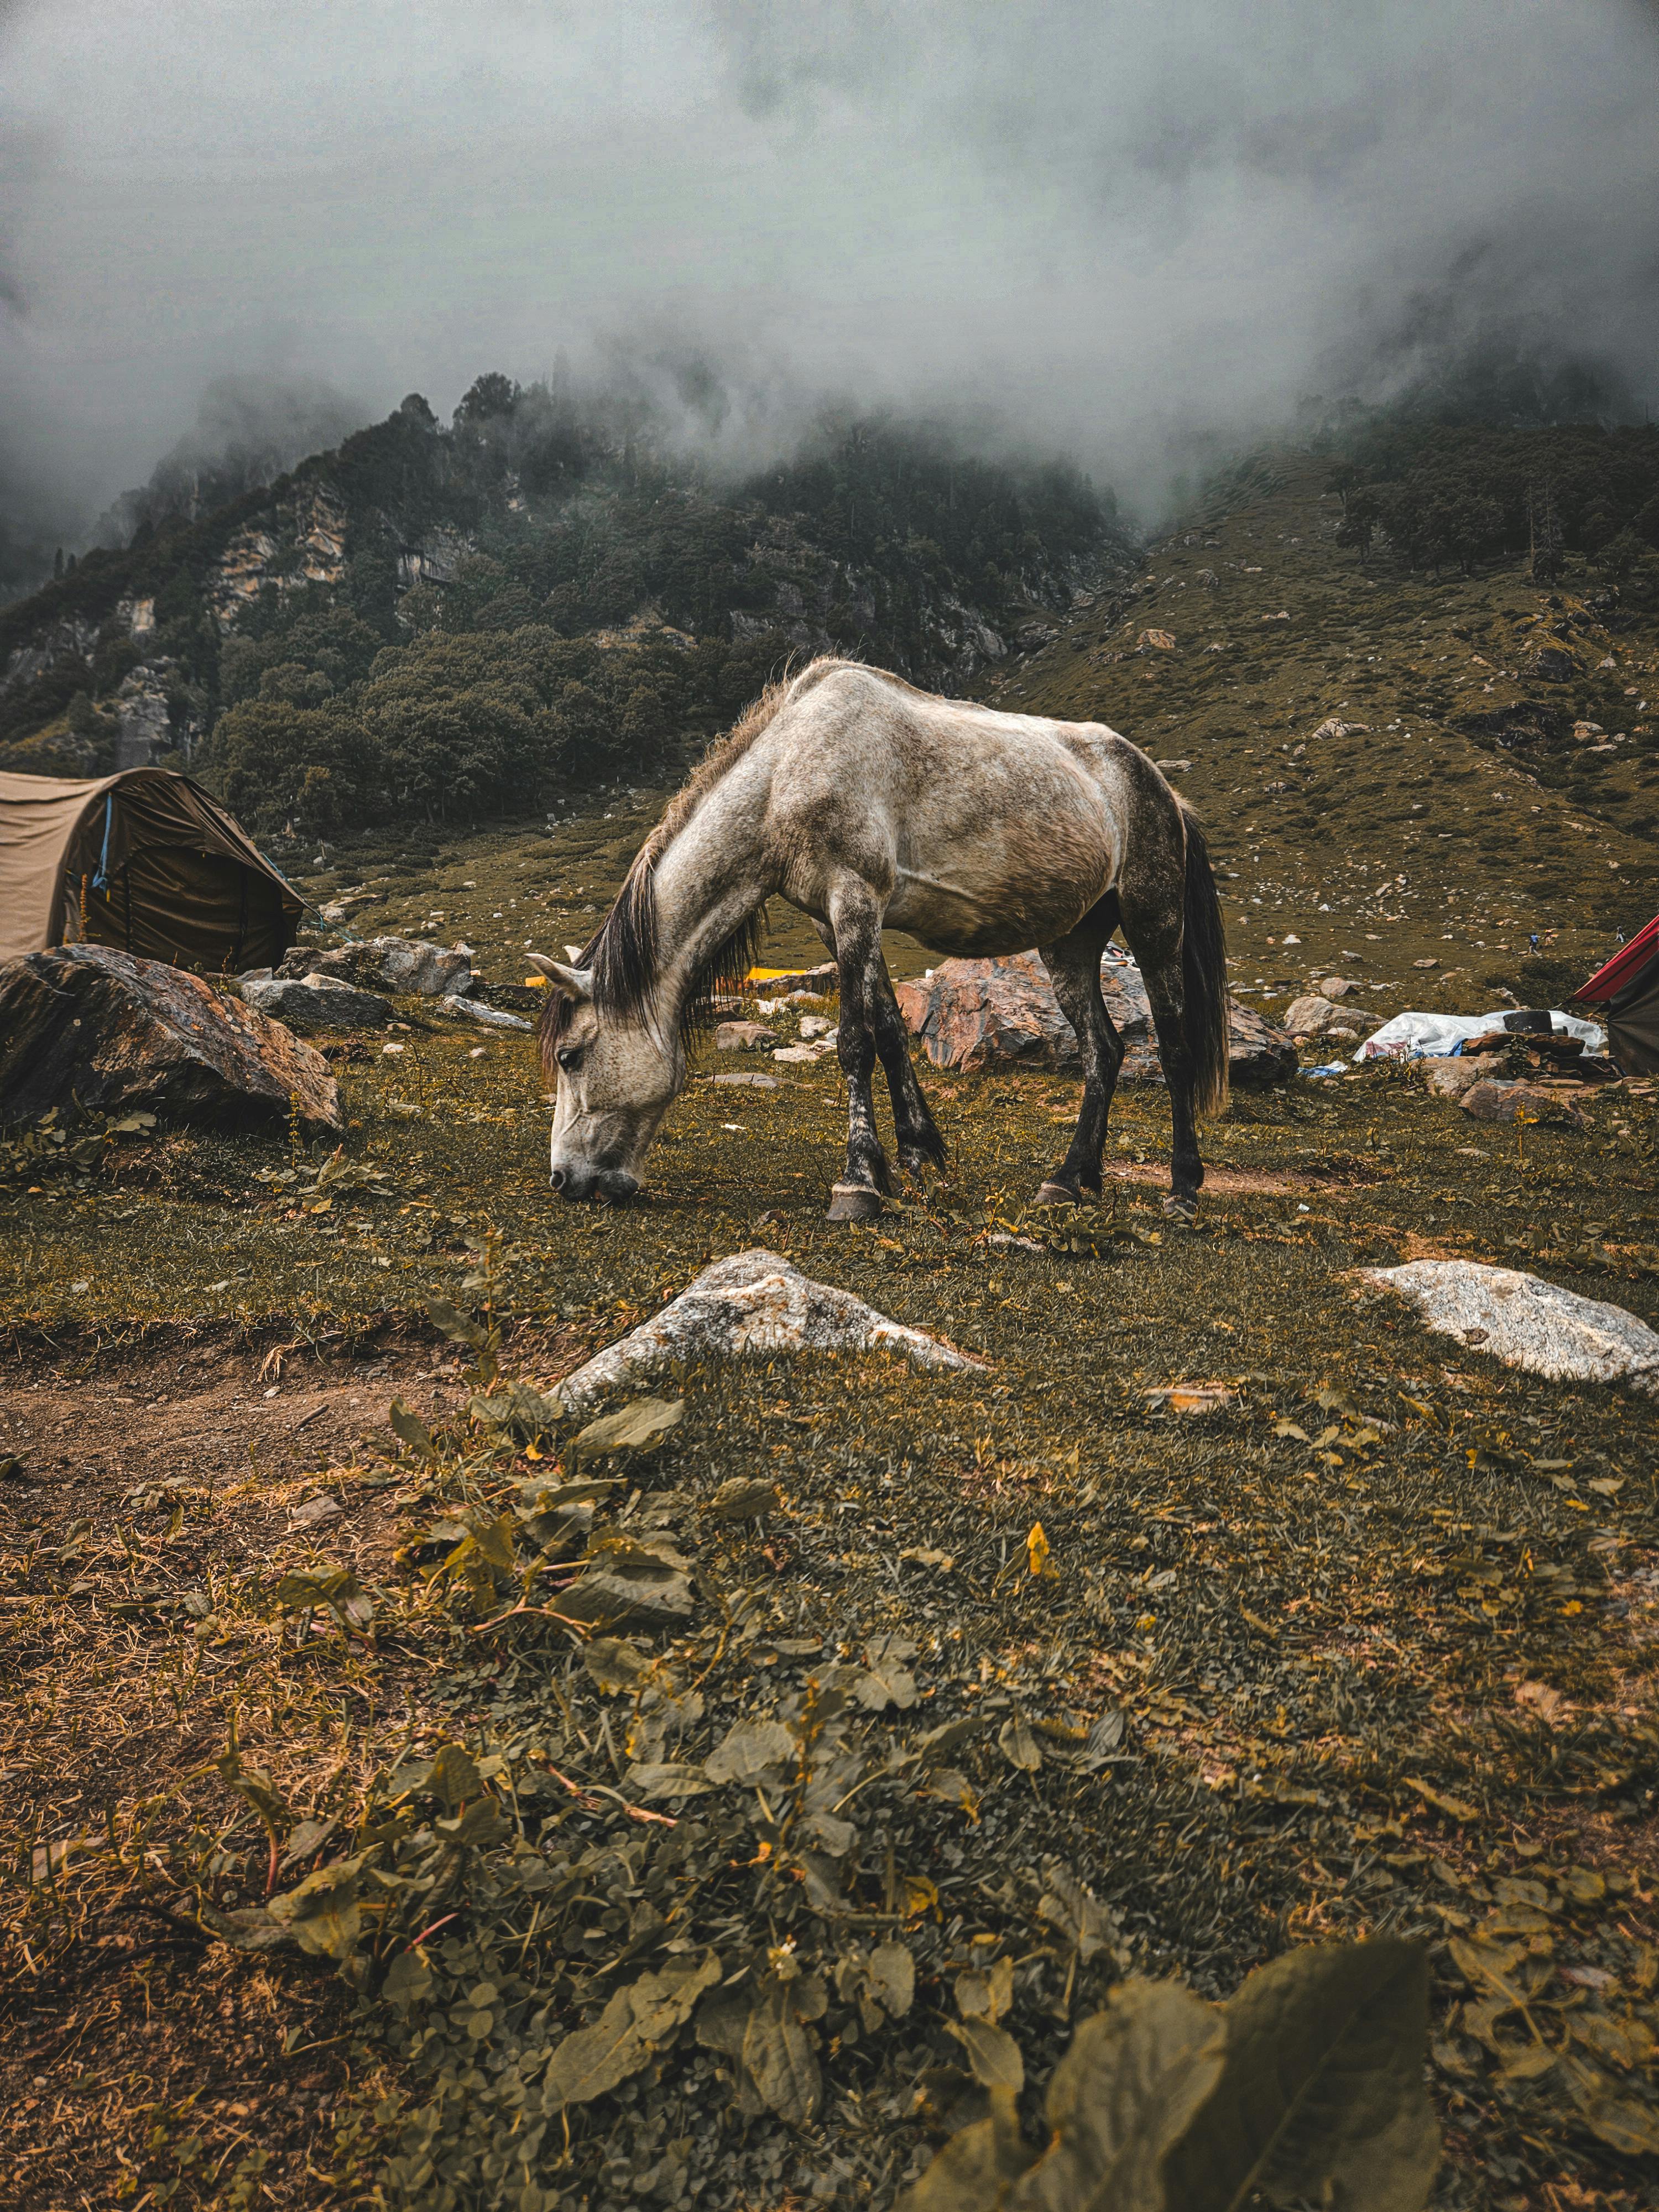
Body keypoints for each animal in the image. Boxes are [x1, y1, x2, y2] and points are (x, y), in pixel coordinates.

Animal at [533, 650, 1239, 1230]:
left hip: (1152, 919)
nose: (565, 1179)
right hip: (1072, 940)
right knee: (1103, 1052)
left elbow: (854, 1042)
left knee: (1174, 1046)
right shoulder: (838, 919)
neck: (787, 771)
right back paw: (1070, 1180)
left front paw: (858, 1183)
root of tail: (1166, 792)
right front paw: (916, 1155)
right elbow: (891, 1030)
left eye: (570, 1056)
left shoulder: (855, 898)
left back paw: (1182, 1189)